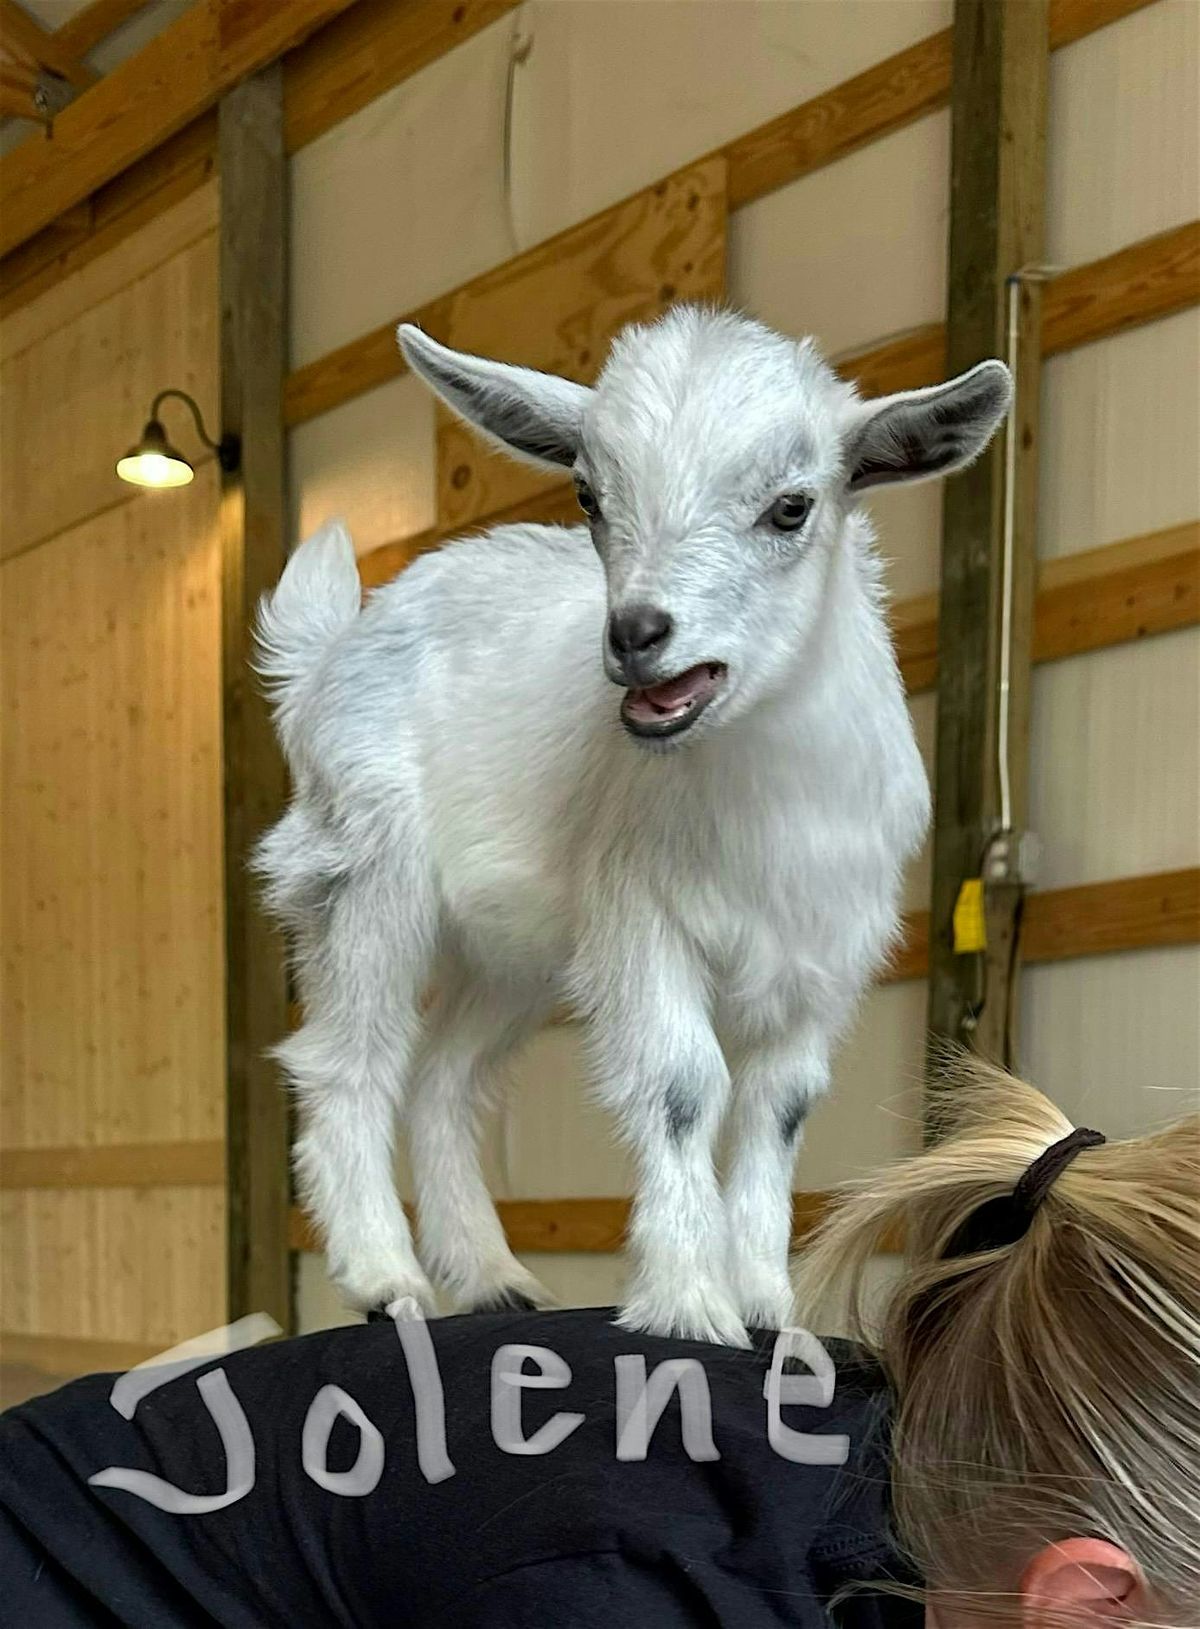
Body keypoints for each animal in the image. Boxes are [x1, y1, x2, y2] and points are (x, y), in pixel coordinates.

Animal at [256, 305, 1010, 1345]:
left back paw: (492, 1276)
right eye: (588, 494)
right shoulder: (643, 920)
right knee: (347, 1062)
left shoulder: (826, 955)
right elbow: (684, 1087)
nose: (636, 632)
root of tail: (330, 652)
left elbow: (780, 1109)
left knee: (446, 1080)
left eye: (792, 507)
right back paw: (384, 1278)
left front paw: (767, 1303)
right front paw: (690, 1300)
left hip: (513, 951)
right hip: (364, 872)